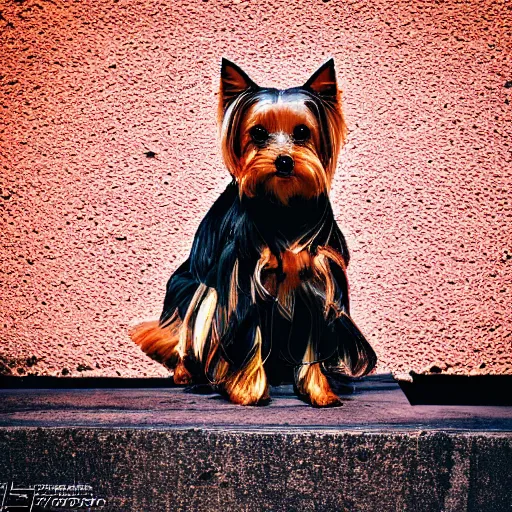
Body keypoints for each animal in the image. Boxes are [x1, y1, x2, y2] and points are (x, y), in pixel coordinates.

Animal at [129, 57, 376, 408]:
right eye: (258, 133)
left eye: (302, 132)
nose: (284, 161)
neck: (284, 206)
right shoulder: (244, 279)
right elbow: (250, 338)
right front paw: (248, 392)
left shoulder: (315, 282)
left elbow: (312, 345)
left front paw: (320, 392)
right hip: (197, 293)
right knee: (185, 332)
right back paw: (186, 374)